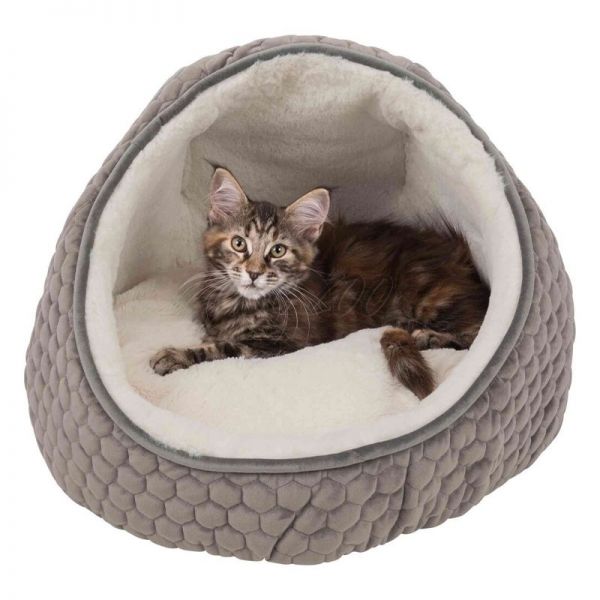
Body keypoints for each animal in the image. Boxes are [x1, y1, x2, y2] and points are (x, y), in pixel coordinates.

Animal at [150, 168, 489, 399]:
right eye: (238, 244)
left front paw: (175, 355)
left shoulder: (283, 346)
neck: (239, 302)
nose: (254, 273)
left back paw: (428, 337)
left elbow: (223, 347)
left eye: (278, 250)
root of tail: (463, 256)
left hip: (428, 298)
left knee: (476, 334)